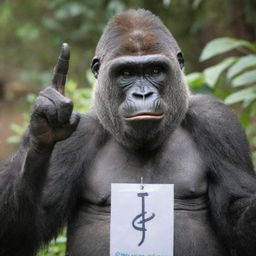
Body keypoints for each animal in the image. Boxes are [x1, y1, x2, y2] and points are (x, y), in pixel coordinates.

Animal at [0, 9, 256, 256]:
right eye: (126, 74)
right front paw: (43, 125)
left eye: (155, 70)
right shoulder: (77, 136)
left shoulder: (217, 121)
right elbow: (26, 230)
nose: (142, 95)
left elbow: (235, 212)